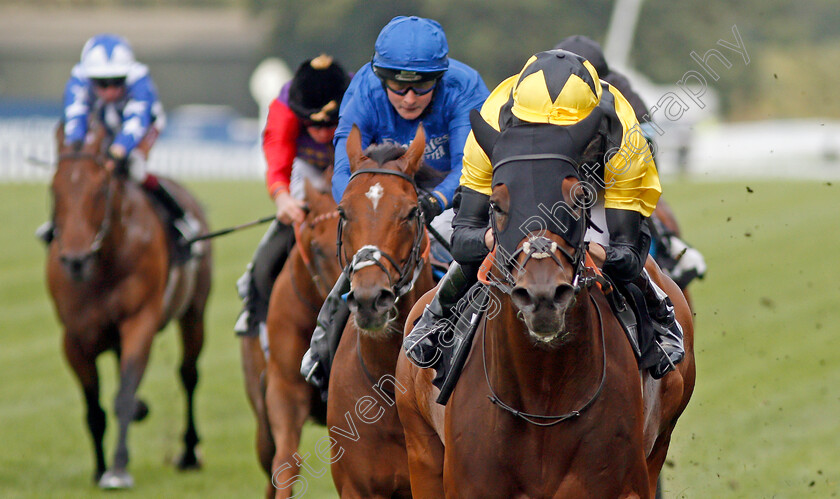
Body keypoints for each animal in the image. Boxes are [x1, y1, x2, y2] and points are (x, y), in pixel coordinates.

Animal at [46, 124, 212, 488]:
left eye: (100, 189)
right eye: (54, 189)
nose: (75, 261)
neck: (103, 266)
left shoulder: (140, 321)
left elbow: (122, 396)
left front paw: (118, 468)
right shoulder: (73, 338)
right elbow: (94, 409)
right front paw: (99, 468)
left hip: (194, 313)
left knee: (189, 374)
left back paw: (189, 452)